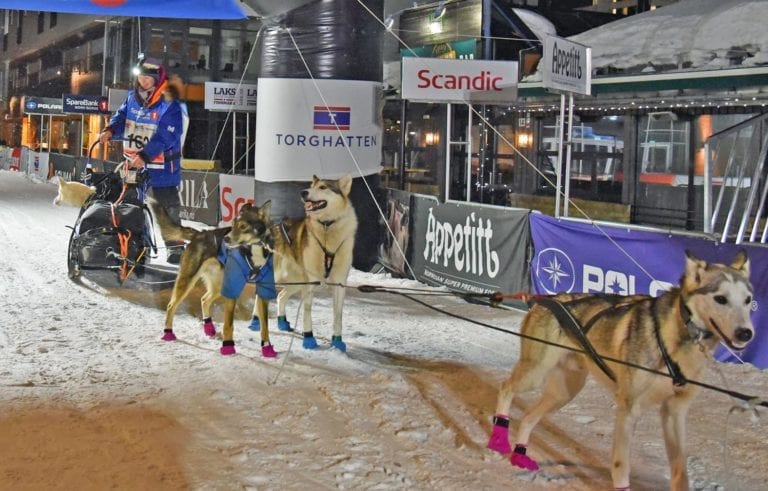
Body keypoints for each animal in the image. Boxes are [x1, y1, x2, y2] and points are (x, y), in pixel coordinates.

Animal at [148, 199, 278, 358]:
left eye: (243, 226)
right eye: (233, 224)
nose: (226, 239)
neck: (253, 250)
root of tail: (200, 233)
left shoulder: (263, 291)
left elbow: (264, 326)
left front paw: (266, 348)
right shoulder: (232, 290)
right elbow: (229, 325)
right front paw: (228, 347)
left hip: (218, 286)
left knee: (204, 299)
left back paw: (209, 328)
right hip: (188, 282)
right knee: (171, 305)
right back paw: (168, 333)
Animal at [242, 175, 358, 352]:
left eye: (323, 187)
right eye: (311, 186)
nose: (303, 192)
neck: (327, 227)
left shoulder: (339, 284)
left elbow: (338, 316)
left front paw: (337, 342)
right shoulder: (310, 283)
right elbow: (307, 314)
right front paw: (309, 339)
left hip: (296, 281)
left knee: (281, 295)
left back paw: (282, 322)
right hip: (277, 276)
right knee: (260, 295)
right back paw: (255, 322)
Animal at [488, 252, 752, 490]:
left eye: (748, 300)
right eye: (721, 298)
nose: (746, 333)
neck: (677, 339)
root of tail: (547, 299)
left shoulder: (675, 411)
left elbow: (680, 470)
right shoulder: (629, 409)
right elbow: (621, 465)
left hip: (564, 391)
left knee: (529, 417)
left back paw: (519, 454)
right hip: (535, 372)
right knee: (505, 388)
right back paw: (498, 440)